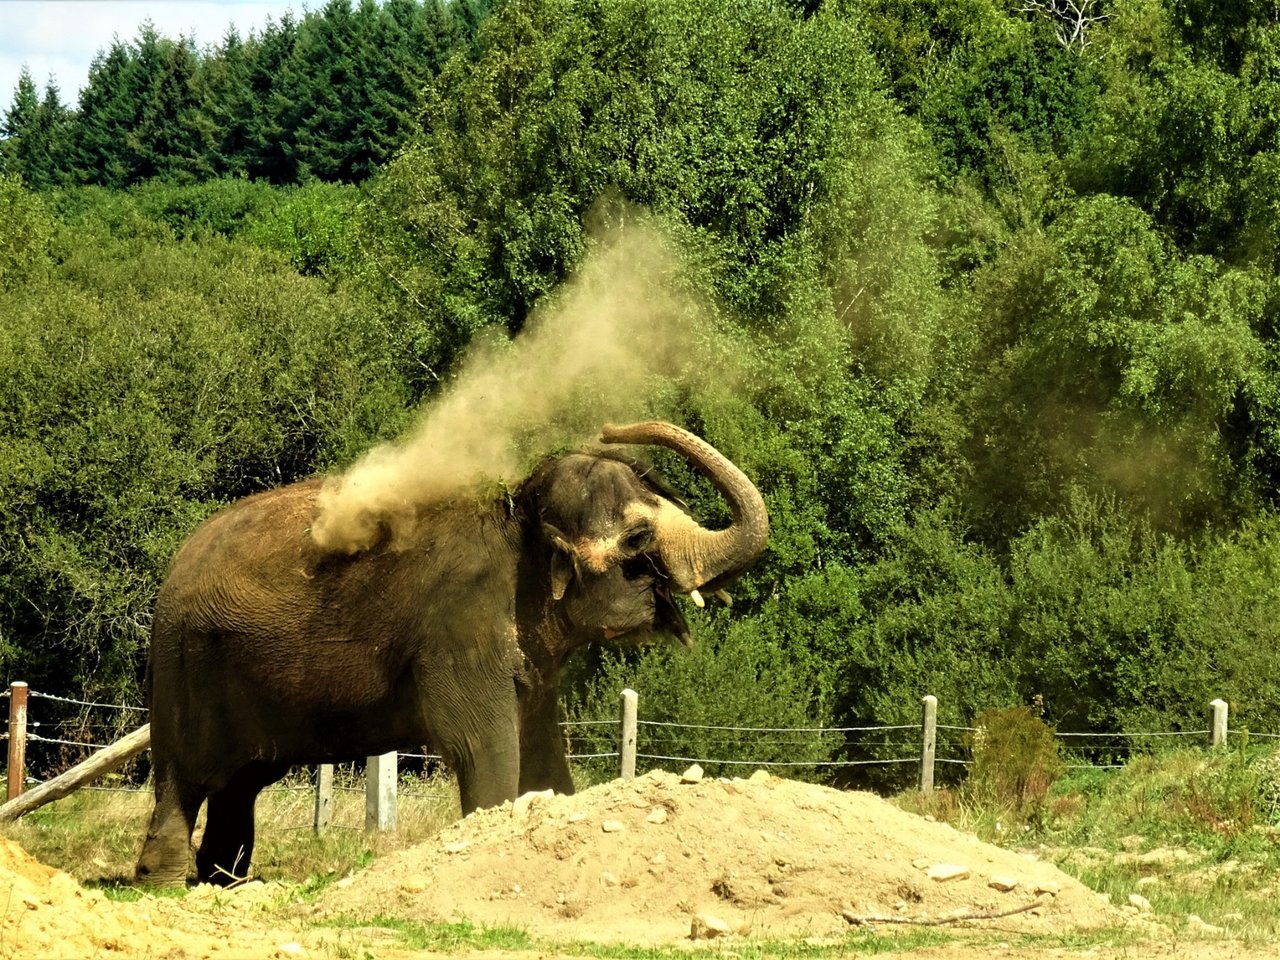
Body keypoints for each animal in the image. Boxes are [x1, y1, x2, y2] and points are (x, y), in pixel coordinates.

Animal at [135, 419, 762, 885]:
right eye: (637, 539)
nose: (610, 427)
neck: (520, 514)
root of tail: (175, 564)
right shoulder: (459, 627)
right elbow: (480, 745)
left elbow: (540, 746)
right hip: (184, 665)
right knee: (184, 778)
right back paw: (164, 883)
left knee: (240, 783)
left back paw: (226, 881)